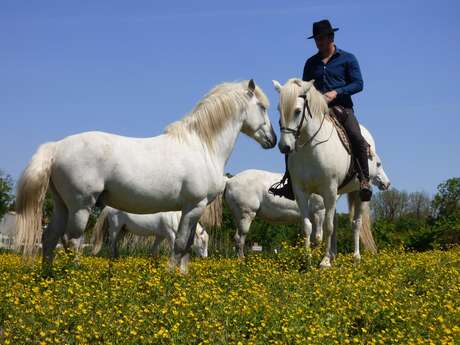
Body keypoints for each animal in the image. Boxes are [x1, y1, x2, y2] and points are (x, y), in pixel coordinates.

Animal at [15, 78, 276, 272]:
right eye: (262, 107)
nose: (272, 140)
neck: (202, 146)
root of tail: (56, 147)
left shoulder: (193, 209)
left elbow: (187, 246)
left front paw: (182, 277)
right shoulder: (194, 206)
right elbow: (180, 244)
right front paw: (170, 277)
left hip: (62, 205)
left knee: (50, 238)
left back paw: (48, 277)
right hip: (81, 206)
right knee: (72, 241)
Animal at [225, 163, 390, 255]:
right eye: (377, 165)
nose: (386, 183)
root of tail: (229, 180)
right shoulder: (319, 213)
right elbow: (318, 237)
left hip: (238, 217)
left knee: (236, 239)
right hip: (246, 216)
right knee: (240, 239)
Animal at [274, 78, 390, 268]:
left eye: (297, 111)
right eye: (278, 109)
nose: (285, 146)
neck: (311, 147)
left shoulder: (328, 189)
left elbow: (328, 226)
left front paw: (325, 262)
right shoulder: (301, 191)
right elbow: (308, 226)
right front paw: (307, 260)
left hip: (358, 193)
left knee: (356, 224)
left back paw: (355, 257)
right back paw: (334, 254)